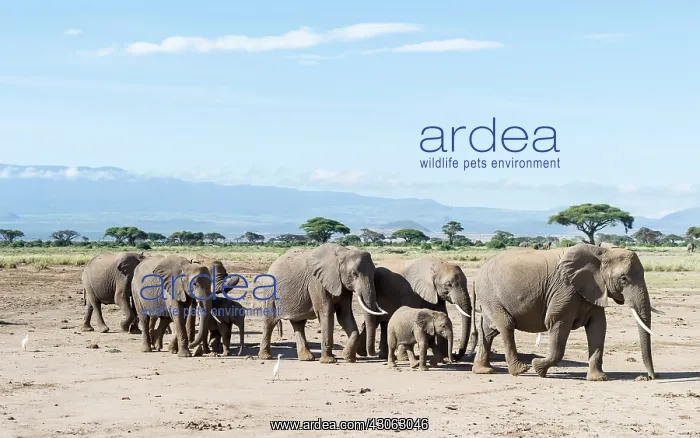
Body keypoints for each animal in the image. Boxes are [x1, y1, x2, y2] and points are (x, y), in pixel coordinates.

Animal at [257, 243, 387, 363]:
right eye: (353, 273)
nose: (374, 354)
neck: (342, 252)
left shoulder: (343, 286)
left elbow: (344, 316)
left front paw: (348, 358)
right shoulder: (316, 282)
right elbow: (326, 313)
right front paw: (329, 361)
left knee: (298, 323)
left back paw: (306, 358)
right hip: (269, 290)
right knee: (270, 321)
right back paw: (266, 357)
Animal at [471, 243, 664, 381]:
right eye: (623, 278)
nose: (650, 377)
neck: (601, 251)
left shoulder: (593, 289)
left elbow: (598, 327)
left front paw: (598, 378)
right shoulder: (564, 290)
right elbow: (557, 324)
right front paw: (538, 367)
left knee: (488, 331)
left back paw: (483, 371)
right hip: (490, 293)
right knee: (506, 325)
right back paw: (520, 370)